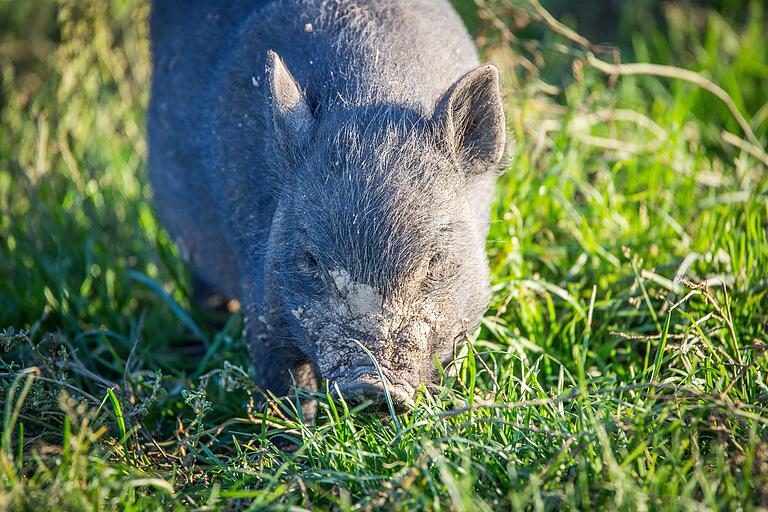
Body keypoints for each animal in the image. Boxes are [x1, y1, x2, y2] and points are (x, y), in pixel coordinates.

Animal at [148, 0, 510, 414]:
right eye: (311, 260)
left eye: (434, 261)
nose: (369, 384)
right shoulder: (262, 301)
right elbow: (284, 383)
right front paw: (287, 432)